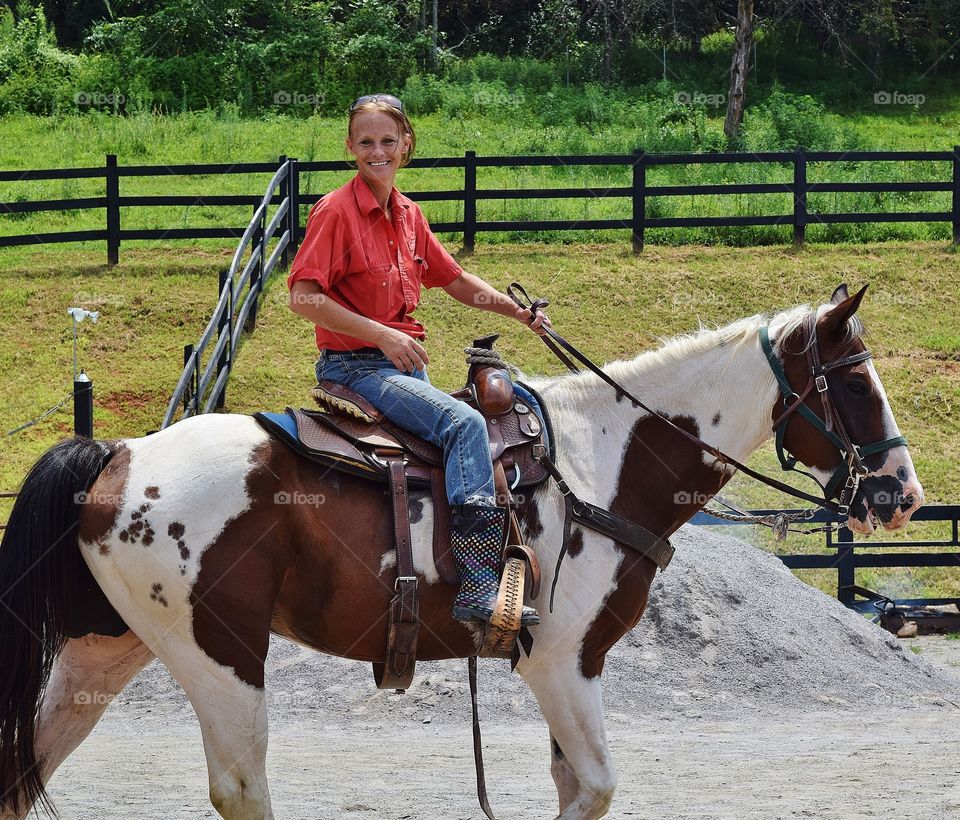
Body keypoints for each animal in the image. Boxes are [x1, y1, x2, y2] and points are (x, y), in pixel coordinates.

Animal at [0, 284, 923, 820]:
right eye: (853, 381)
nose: (902, 493)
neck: (600, 459)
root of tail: (118, 454)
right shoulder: (562, 660)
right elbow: (595, 787)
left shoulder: (568, 671)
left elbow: (573, 785)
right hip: (222, 657)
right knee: (241, 788)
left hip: (103, 650)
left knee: (25, 769)